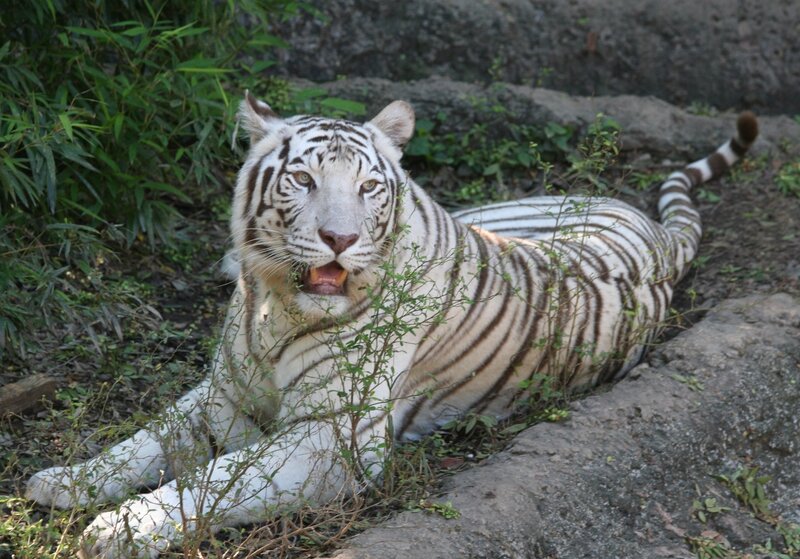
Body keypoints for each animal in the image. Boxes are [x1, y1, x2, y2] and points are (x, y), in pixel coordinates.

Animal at [25, 92, 758, 558]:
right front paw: (64, 481)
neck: (272, 305)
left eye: (369, 188)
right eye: (302, 179)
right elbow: (142, 441)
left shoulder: (331, 438)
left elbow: (216, 478)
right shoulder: (222, 396)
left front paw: (117, 527)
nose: (340, 239)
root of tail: (658, 236)